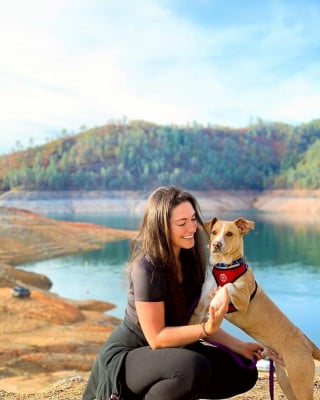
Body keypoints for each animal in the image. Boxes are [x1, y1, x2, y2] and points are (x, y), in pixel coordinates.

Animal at [190, 217, 320, 400]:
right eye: (214, 232)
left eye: (229, 234)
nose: (216, 244)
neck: (225, 267)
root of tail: (307, 342)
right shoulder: (200, 307)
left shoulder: (243, 300)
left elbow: (228, 286)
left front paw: (220, 295)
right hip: (285, 379)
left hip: (300, 382)